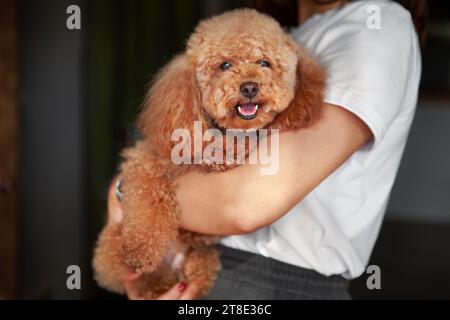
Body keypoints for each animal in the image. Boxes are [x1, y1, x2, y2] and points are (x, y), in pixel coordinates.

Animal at [93, 9, 326, 300]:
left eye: (264, 63)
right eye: (225, 65)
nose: (250, 87)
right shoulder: (144, 163)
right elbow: (148, 200)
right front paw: (141, 252)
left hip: (201, 261)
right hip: (112, 246)